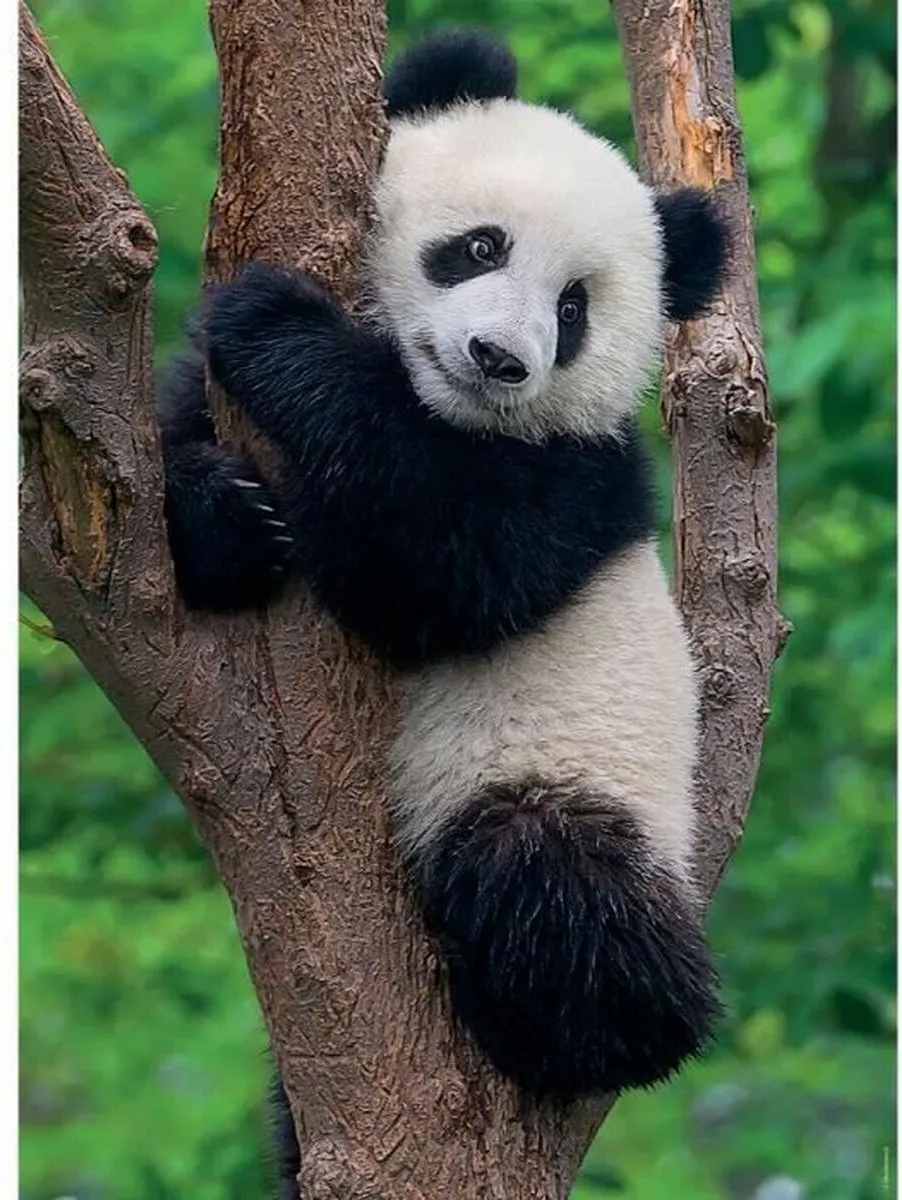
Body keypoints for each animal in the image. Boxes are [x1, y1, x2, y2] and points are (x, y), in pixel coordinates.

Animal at [159, 25, 728, 1135]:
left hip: (573, 777)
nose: (499, 358)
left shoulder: (579, 480)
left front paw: (275, 326)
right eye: (479, 247)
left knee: (556, 885)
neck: (444, 406)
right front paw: (226, 517)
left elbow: (436, 564)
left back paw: (575, 1024)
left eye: (572, 309)